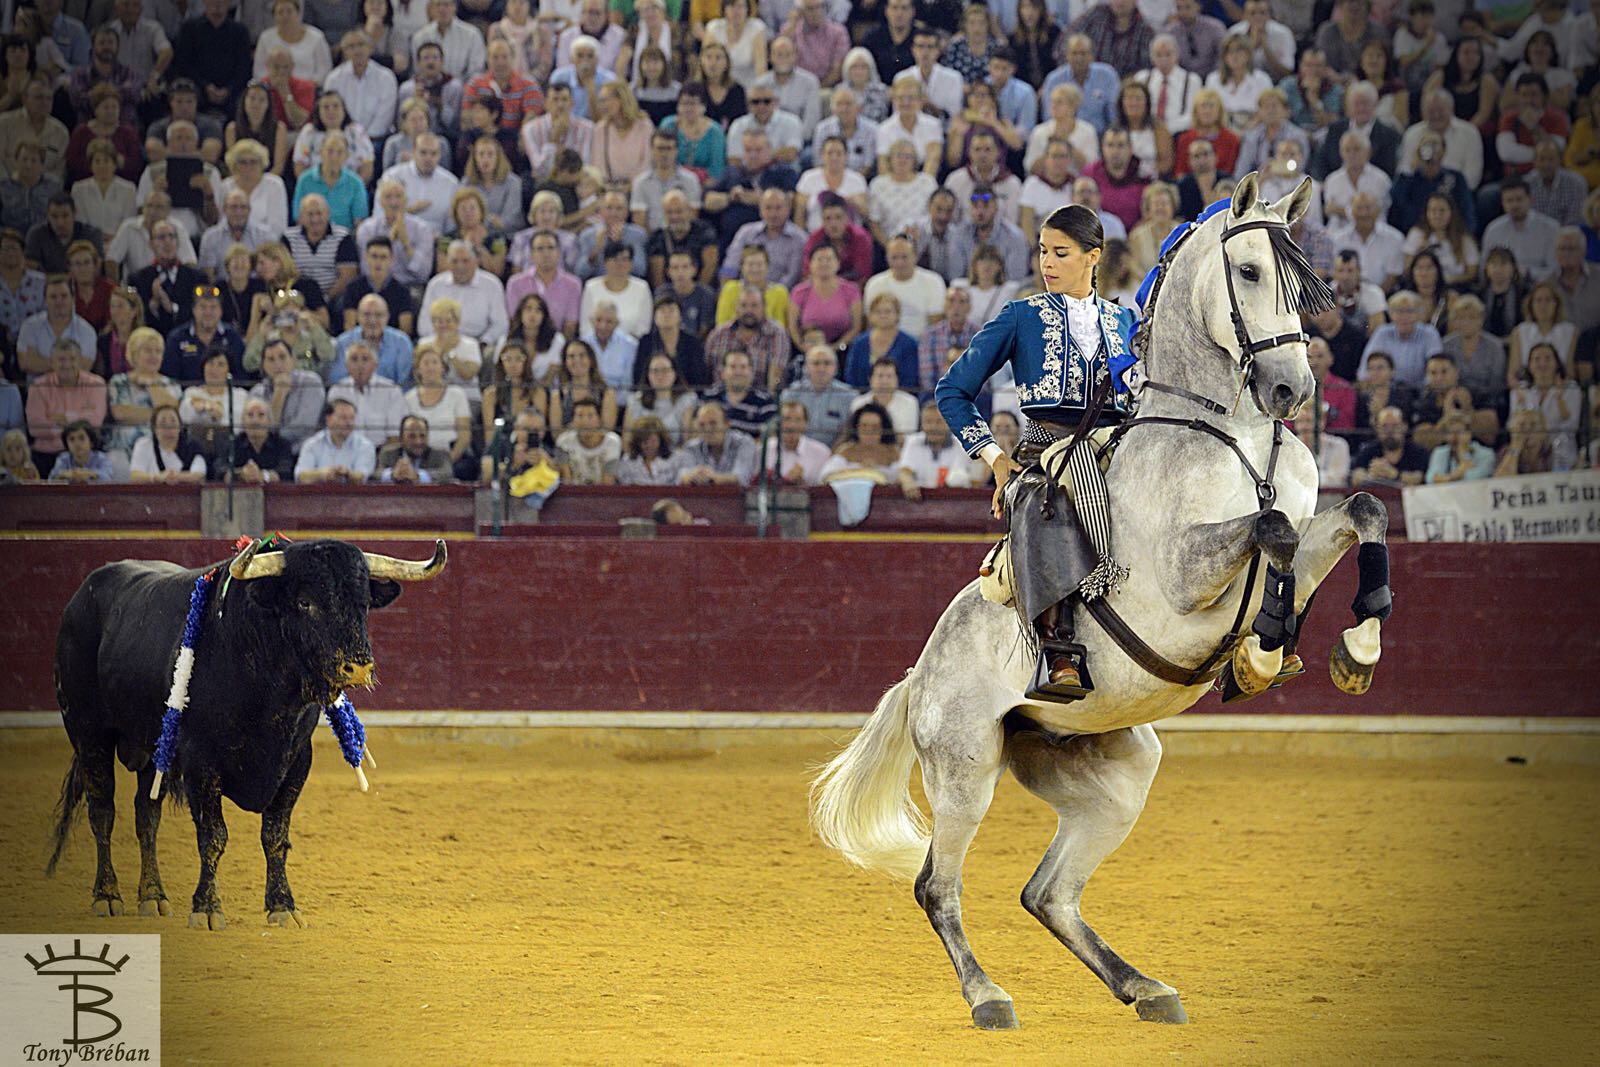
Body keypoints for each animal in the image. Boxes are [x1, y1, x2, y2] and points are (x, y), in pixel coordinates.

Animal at [46, 537, 448, 927]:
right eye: (304, 602)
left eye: (363, 604)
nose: (357, 667)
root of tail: (79, 600)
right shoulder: (200, 764)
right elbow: (213, 835)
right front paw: (207, 908)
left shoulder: (296, 760)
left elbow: (275, 836)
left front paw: (282, 905)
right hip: (89, 732)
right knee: (103, 812)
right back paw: (107, 896)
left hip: (152, 748)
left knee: (147, 816)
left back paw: (153, 897)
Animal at [812, 173, 1388, 1023]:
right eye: (1250, 272)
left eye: (1304, 285)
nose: (1291, 388)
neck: (1236, 437)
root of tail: (919, 675)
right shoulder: (1180, 575)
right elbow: (1272, 527)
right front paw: (1264, 647)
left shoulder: (1306, 527)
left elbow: (1356, 512)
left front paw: (1342, 650)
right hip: (964, 768)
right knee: (938, 885)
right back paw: (989, 995)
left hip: (1115, 775)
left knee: (1047, 892)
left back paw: (1143, 985)